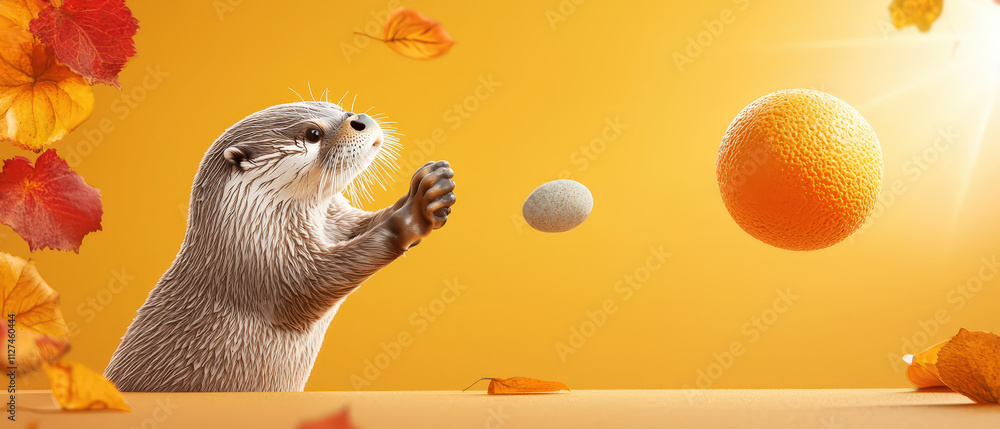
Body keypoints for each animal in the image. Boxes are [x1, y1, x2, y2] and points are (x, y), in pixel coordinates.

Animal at [104, 102, 456, 392]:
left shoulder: (336, 221)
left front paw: (432, 188)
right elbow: (309, 285)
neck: (241, 232)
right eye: (313, 133)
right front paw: (410, 216)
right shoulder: (260, 262)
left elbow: (360, 226)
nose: (361, 119)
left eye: (339, 108)